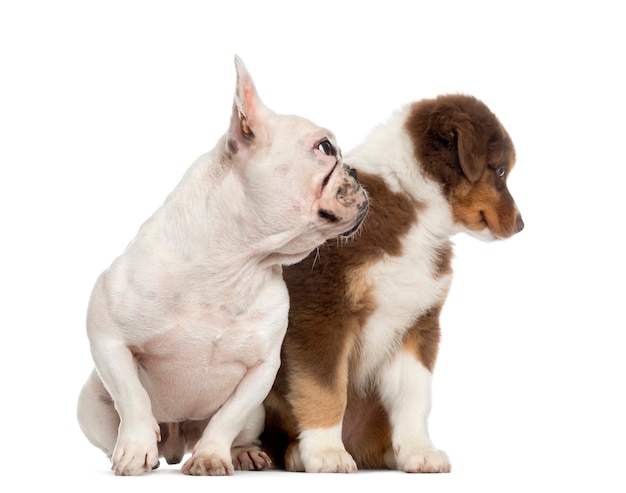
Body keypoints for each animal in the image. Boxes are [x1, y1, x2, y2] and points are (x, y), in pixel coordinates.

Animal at [75, 55, 368, 474]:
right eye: (326, 147)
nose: (356, 171)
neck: (236, 263)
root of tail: (177, 437)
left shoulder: (262, 370)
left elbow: (227, 418)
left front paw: (211, 455)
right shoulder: (107, 336)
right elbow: (133, 399)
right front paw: (134, 449)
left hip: (257, 414)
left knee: (238, 429)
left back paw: (241, 452)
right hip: (90, 405)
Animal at [260, 93, 520, 472]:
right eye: (500, 170)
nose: (522, 225)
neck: (415, 207)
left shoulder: (417, 323)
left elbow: (414, 395)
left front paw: (419, 451)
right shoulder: (322, 313)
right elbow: (325, 388)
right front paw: (327, 453)